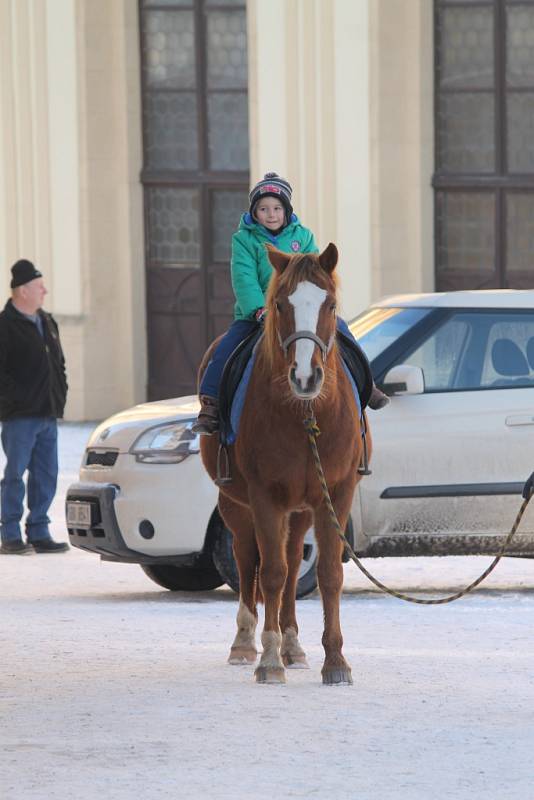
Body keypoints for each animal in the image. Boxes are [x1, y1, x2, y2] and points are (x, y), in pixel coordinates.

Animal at [199, 242, 370, 680]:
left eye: (330, 303)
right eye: (278, 304)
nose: (305, 377)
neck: (305, 414)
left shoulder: (335, 495)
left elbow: (328, 574)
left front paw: (335, 661)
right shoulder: (265, 497)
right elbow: (271, 574)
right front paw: (269, 660)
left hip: (301, 508)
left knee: (294, 563)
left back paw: (294, 645)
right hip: (236, 504)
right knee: (249, 561)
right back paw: (246, 644)